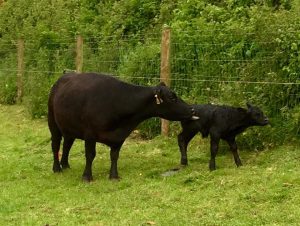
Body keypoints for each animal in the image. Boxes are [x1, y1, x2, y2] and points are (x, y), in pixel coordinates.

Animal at [48, 72, 198, 182]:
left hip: (68, 127)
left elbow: (114, 155)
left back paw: (65, 165)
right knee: (55, 145)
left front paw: (114, 176)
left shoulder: (120, 136)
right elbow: (90, 155)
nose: (192, 109)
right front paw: (87, 176)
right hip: (53, 123)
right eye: (172, 97)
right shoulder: (90, 134)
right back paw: (57, 168)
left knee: (67, 144)